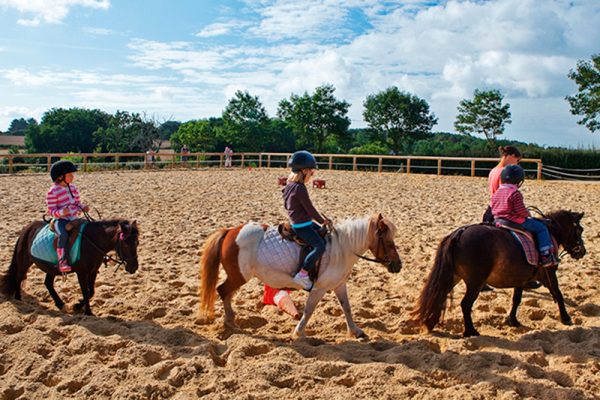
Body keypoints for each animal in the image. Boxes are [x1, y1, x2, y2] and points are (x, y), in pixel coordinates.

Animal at [1, 219, 139, 316]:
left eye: (137, 242)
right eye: (126, 244)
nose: (134, 267)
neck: (91, 242)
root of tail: (27, 228)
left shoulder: (93, 271)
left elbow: (91, 291)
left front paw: (77, 306)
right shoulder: (82, 273)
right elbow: (85, 291)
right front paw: (88, 312)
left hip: (50, 268)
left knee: (48, 283)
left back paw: (60, 303)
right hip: (24, 261)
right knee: (18, 277)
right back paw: (18, 298)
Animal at [198, 214, 404, 340]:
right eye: (388, 242)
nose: (398, 265)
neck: (341, 248)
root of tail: (230, 231)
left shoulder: (339, 285)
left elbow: (347, 307)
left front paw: (356, 331)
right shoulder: (320, 288)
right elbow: (309, 310)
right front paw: (299, 332)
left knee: (226, 293)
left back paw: (231, 320)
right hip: (239, 276)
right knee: (222, 290)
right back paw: (230, 322)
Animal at [412, 211, 584, 336]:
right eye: (579, 230)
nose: (582, 251)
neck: (550, 232)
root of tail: (460, 232)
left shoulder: (521, 279)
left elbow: (516, 299)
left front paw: (512, 320)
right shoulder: (549, 273)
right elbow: (558, 294)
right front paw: (566, 318)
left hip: (452, 277)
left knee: (438, 295)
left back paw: (429, 323)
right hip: (475, 283)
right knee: (465, 304)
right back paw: (470, 331)